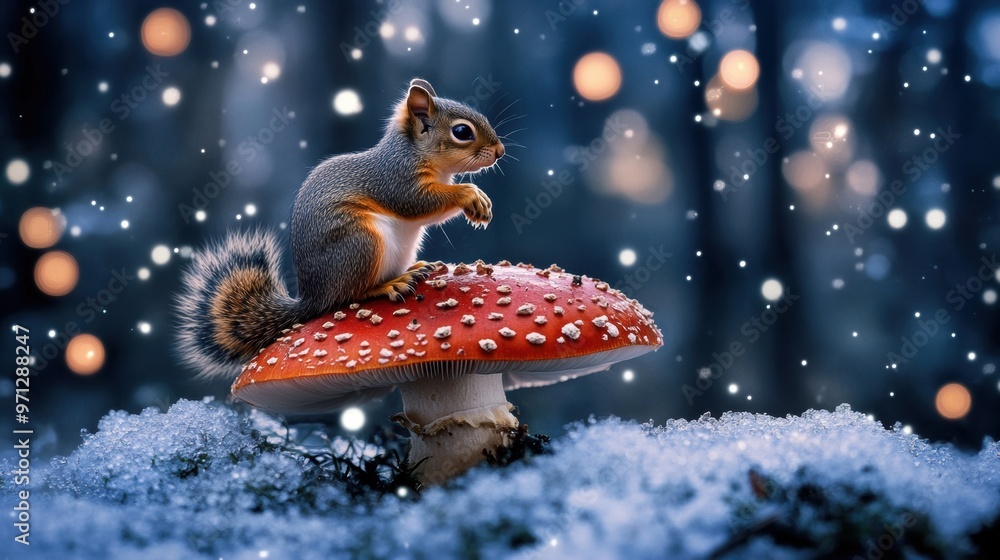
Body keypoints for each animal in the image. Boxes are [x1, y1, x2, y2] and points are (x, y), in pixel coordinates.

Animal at [176, 78, 505, 378]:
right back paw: (390, 284)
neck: (416, 153)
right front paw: (471, 195)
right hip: (359, 243)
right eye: (462, 132)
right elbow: (418, 203)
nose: (500, 150)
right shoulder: (397, 180)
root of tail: (313, 296)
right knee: (350, 294)